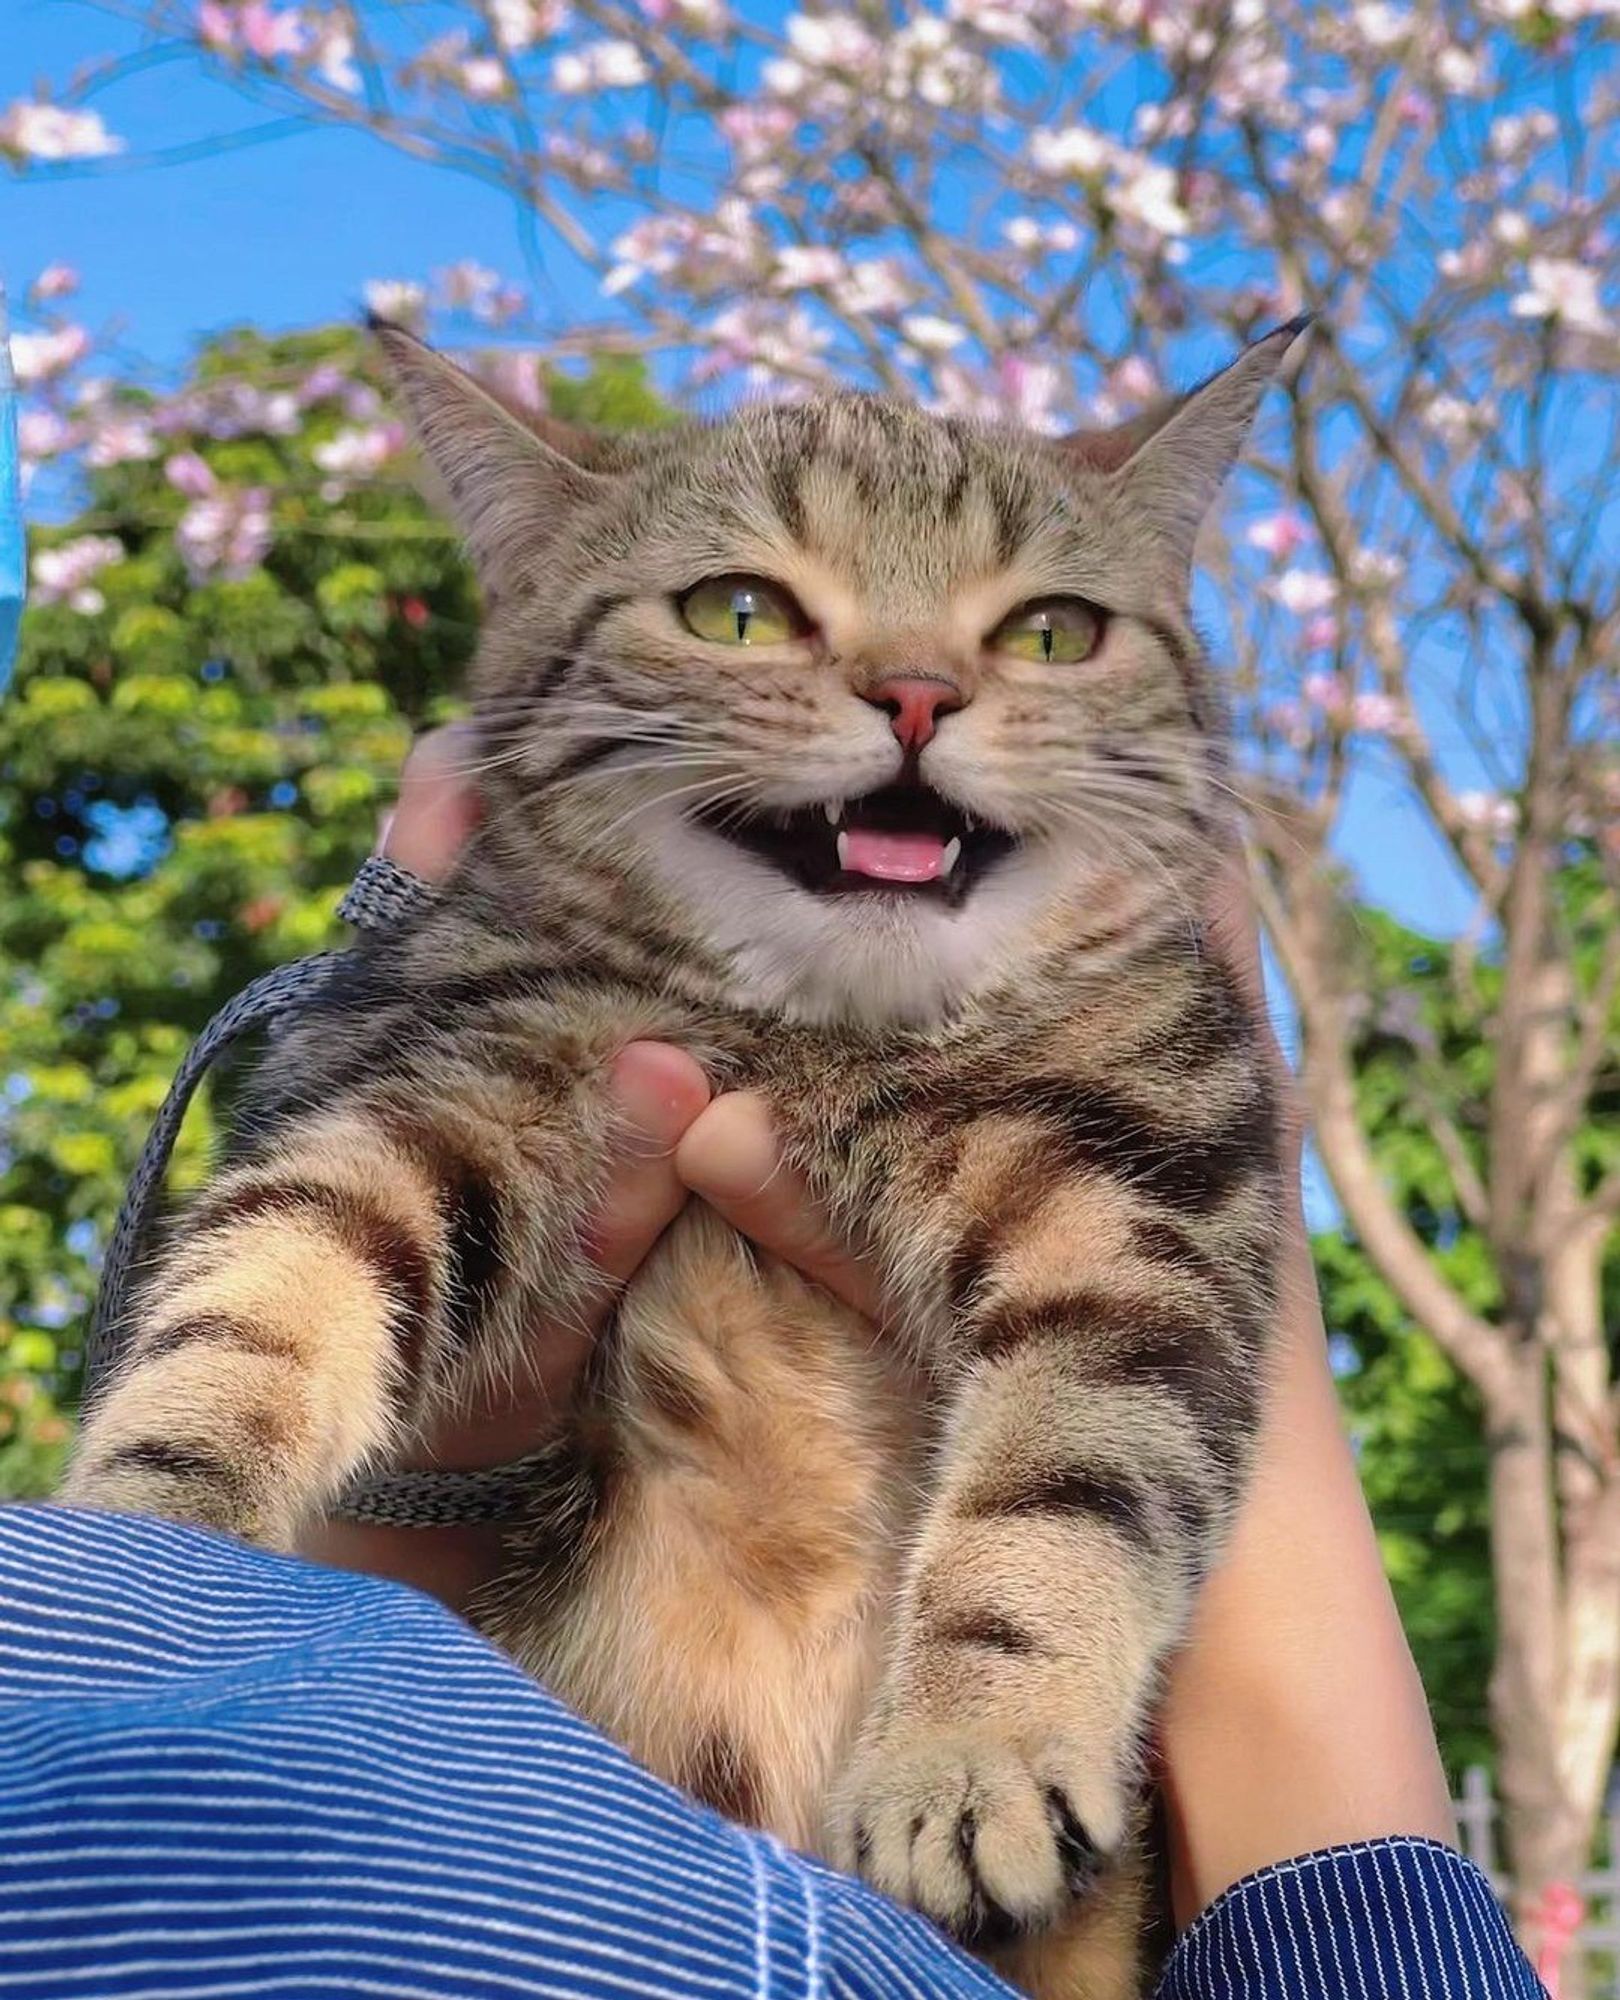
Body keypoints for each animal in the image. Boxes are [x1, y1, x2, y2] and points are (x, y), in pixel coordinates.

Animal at [66, 316, 1304, 2000]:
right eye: (740, 611)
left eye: (1052, 633)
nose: (919, 693)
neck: (814, 1036)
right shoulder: (426, 1074)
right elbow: (257, 1304)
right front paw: (147, 1535)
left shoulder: (1145, 1197)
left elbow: (1071, 1481)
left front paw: (975, 1750)